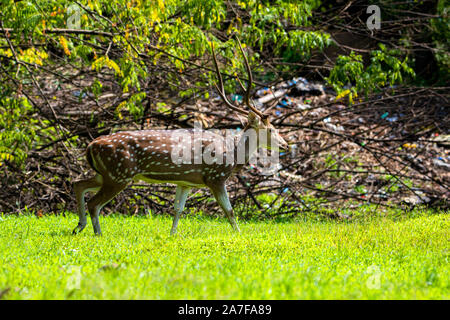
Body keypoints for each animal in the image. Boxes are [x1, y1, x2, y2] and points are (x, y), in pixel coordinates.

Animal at [72, 38, 286, 236]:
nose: (285, 145)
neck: (233, 157)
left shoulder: (186, 182)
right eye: (271, 129)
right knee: (94, 203)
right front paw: (239, 235)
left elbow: (178, 209)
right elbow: (229, 210)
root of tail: (90, 146)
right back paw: (97, 233)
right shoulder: (215, 177)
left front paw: (172, 234)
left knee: (78, 184)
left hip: (105, 173)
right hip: (119, 174)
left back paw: (79, 226)